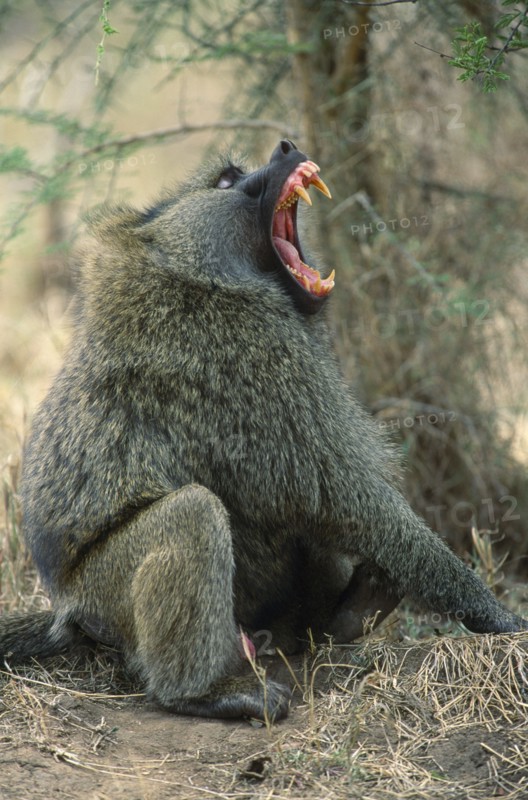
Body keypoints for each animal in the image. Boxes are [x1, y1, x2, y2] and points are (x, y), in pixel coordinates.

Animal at [1, 139, 526, 723]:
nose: (286, 146)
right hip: (105, 593)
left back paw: (344, 616)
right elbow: (343, 496)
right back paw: (203, 693)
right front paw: (499, 618)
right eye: (227, 181)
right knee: (194, 513)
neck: (194, 276)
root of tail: (64, 605)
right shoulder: (253, 349)